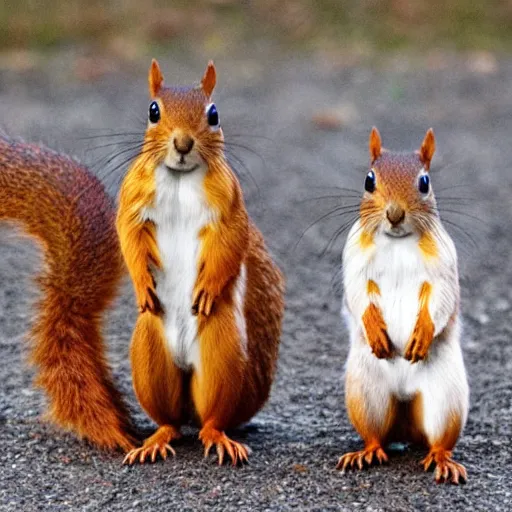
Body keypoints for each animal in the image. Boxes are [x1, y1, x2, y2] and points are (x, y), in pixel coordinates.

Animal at [114, 59, 286, 464]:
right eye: (153, 111)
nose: (182, 143)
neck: (180, 179)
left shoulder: (229, 206)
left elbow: (229, 244)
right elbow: (128, 237)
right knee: (170, 420)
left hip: (222, 351)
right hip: (148, 352)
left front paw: (207, 288)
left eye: (214, 114)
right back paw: (156, 440)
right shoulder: (132, 203)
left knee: (211, 417)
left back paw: (216, 436)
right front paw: (141, 284)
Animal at [338, 128, 470, 484]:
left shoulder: (443, 267)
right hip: (365, 391)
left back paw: (441, 459)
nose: (394, 214)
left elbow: (441, 299)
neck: (397, 241)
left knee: (439, 438)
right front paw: (374, 329)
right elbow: (358, 295)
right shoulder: (354, 263)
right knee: (374, 433)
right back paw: (367, 452)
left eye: (424, 183)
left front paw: (422, 334)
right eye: (369, 180)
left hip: (445, 397)